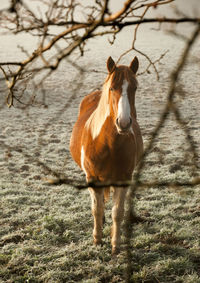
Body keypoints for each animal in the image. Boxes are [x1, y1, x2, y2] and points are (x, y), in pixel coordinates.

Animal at [69, 56, 143, 255]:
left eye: (135, 87)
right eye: (112, 88)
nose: (123, 123)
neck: (108, 144)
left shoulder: (123, 179)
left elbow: (117, 212)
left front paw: (115, 245)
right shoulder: (92, 178)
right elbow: (97, 209)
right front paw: (97, 239)